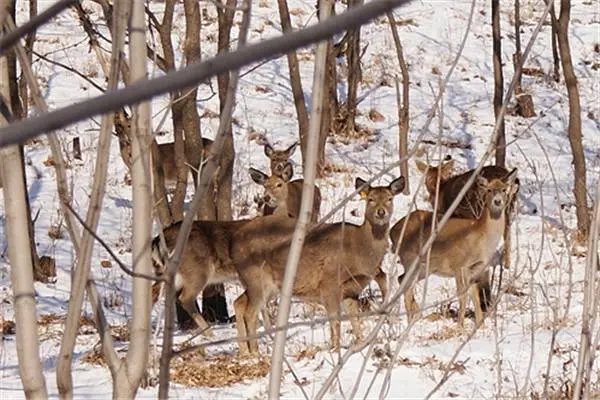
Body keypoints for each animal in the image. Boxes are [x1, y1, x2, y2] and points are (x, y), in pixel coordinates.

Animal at [232, 177, 406, 354]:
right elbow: (335, 320)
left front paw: (359, 346)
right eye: (370, 200)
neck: (359, 251)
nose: (381, 212)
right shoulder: (329, 282)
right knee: (250, 313)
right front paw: (335, 350)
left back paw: (245, 351)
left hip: (259, 283)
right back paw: (255, 352)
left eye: (389, 198)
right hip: (256, 277)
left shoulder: (352, 289)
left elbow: (355, 321)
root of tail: (234, 240)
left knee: (238, 303)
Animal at [392, 169, 516, 328]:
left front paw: (480, 325)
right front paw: (460, 326)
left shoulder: (476, 269)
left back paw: (416, 315)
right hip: (411, 260)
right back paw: (410, 322)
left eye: (504, 189)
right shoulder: (459, 265)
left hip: (425, 268)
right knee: (407, 286)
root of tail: (392, 231)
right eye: (488, 189)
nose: (497, 201)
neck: (481, 235)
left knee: (401, 279)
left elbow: (475, 295)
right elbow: (462, 295)